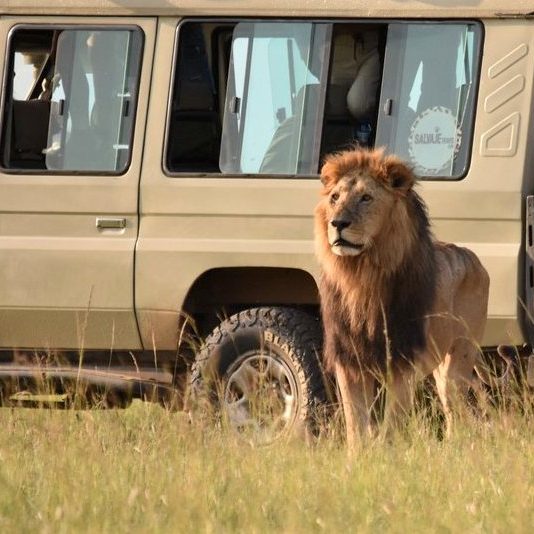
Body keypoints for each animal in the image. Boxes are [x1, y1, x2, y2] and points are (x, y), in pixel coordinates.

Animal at [316, 147, 492, 448]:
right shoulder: (349, 363)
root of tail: (473, 256)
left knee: (456, 415)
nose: (337, 223)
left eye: (366, 197)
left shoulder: (403, 364)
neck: (361, 281)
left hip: (459, 360)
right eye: (335, 197)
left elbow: (390, 428)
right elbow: (356, 428)